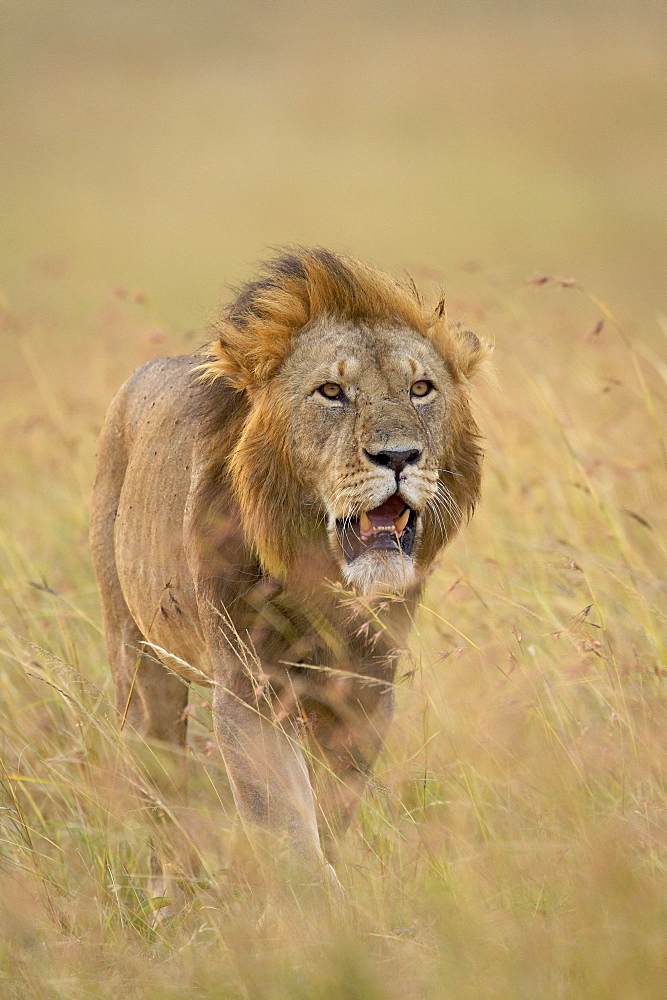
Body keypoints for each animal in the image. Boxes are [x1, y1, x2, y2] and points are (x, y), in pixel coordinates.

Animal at [90, 248, 490, 900]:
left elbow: (330, 809)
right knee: (159, 772)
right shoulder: (251, 692)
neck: (321, 581)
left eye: (421, 388)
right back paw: (168, 886)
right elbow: (285, 820)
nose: (399, 456)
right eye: (331, 391)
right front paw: (313, 906)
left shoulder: (365, 694)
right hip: (138, 655)